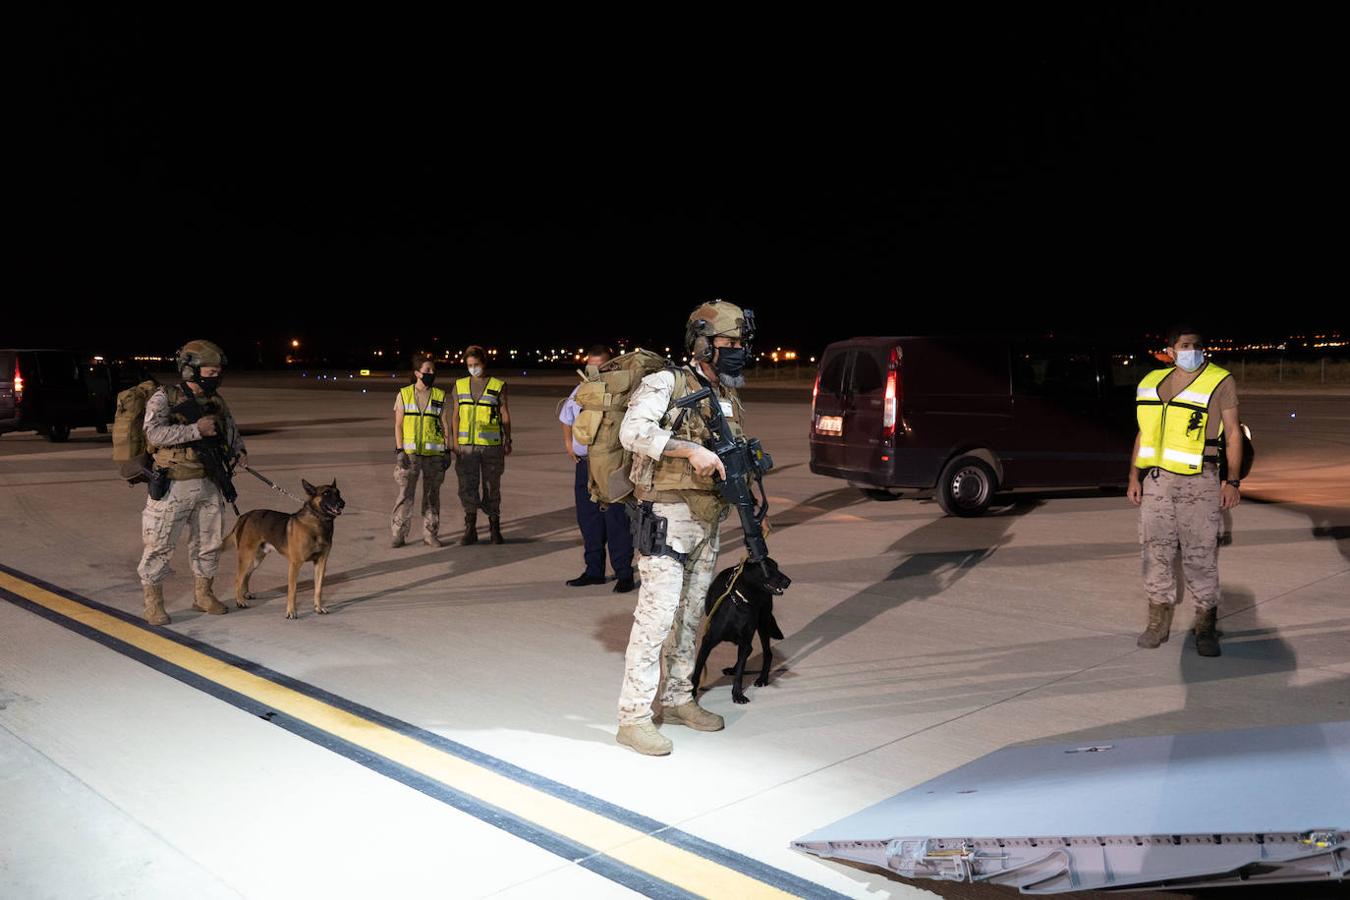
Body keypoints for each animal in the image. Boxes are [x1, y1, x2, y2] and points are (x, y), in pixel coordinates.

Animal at [218, 477, 345, 620]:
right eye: (326, 493)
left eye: (338, 493)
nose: (342, 503)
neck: (317, 522)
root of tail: (244, 516)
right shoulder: (295, 564)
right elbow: (292, 591)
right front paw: (291, 612)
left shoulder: (321, 563)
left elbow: (318, 589)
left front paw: (318, 607)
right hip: (246, 557)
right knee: (238, 578)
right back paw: (240, 600)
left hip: (256, 559)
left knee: (246, 574)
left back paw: (246, 594)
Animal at [691, 555, 788, 701]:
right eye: (766, 568)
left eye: (777, 567)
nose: (788, 581)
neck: (742, 604)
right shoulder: (708, 641)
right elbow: (698, 670)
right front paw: (691, 693)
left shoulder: (745, 641)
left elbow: (740, 673)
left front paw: (737, 694)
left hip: (763, 623)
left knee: (767, 653)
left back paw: (762, 679)